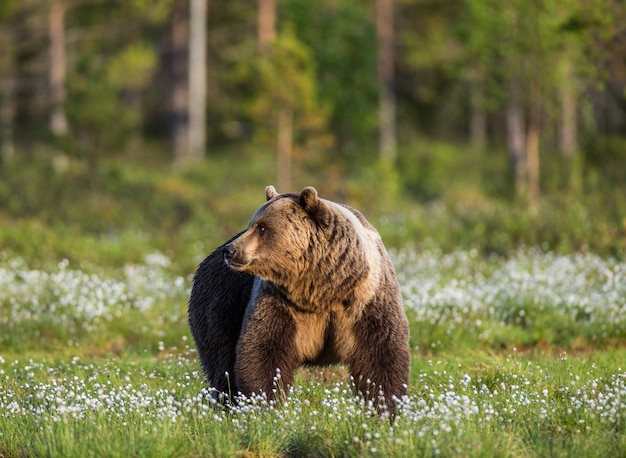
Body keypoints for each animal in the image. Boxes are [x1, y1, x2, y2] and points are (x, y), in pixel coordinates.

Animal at [188, 184, 408, 410]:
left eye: (262, 228)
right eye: (252, 224)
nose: (230, 250)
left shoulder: (366, 299)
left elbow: (379, 351)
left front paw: (384, 405)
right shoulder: (280, 302)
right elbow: (263, 348)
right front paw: (266, 403)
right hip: (219, 307)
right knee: (222, 362)